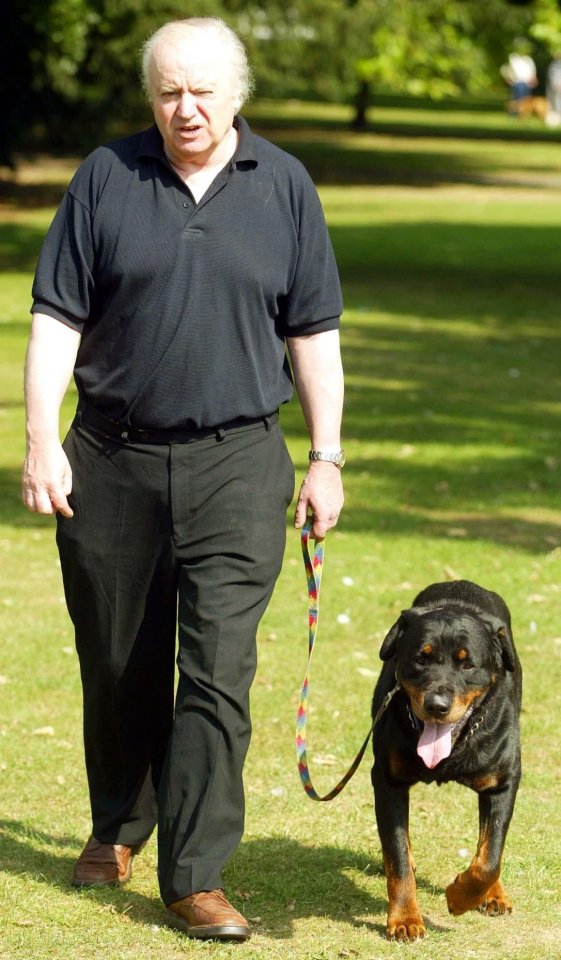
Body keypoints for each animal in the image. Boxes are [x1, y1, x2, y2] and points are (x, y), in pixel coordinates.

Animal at [372, 580, 520, 940]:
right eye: (420, 659)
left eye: (467, 665)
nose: (437, 704)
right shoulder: (387, 780)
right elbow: (396, 856)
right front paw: (405, 919)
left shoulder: (504, 782)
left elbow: (489, 857)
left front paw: (460, 896)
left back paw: (495, 894)